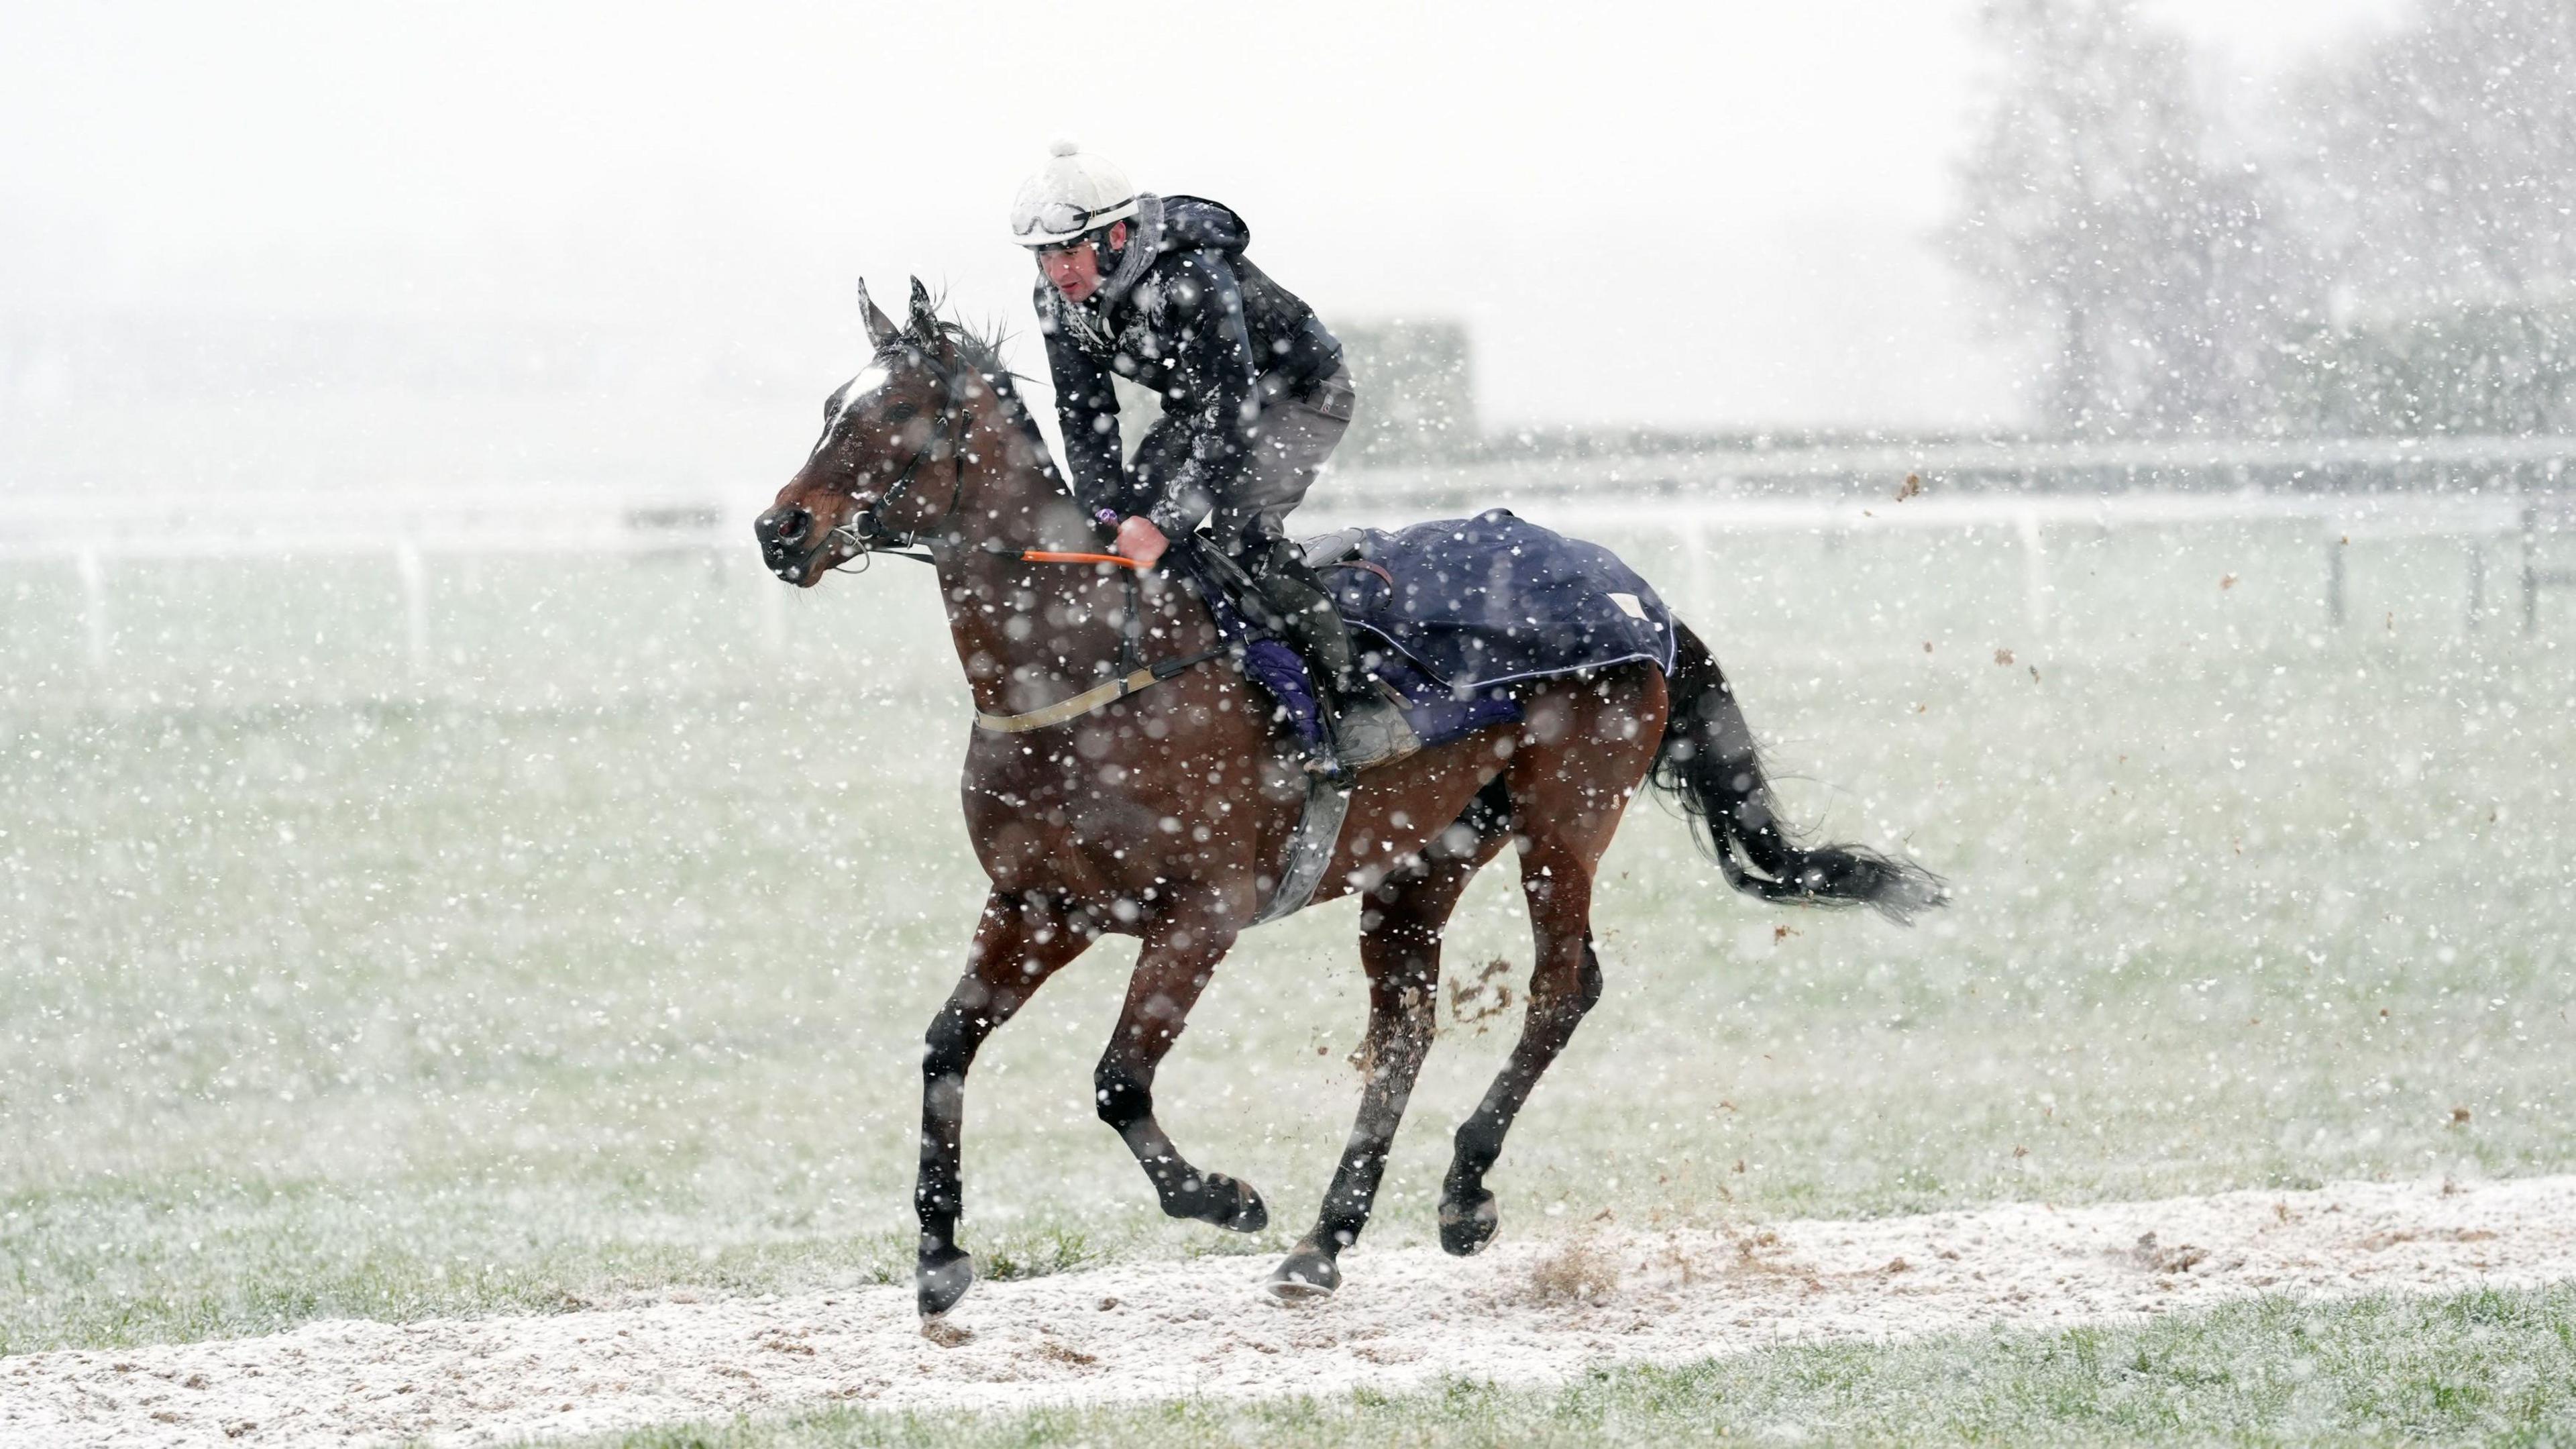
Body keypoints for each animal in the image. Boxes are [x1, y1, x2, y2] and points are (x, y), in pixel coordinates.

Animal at [747, 276, 1937, 1315]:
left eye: (895, 412)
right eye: (830, 403)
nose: (778, 531)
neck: (1087, 669)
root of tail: (1637, 591)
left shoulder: (1201, 914)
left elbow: (1118, 1080)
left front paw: (1226, 1200)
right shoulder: (1037, 905)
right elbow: (946, 1046)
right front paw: (940, 1258)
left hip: (1567, 815)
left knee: (1563, 987)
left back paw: (1462, 1194)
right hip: (1425, 859)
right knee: (1405, 1029)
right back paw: (1326, 1240)